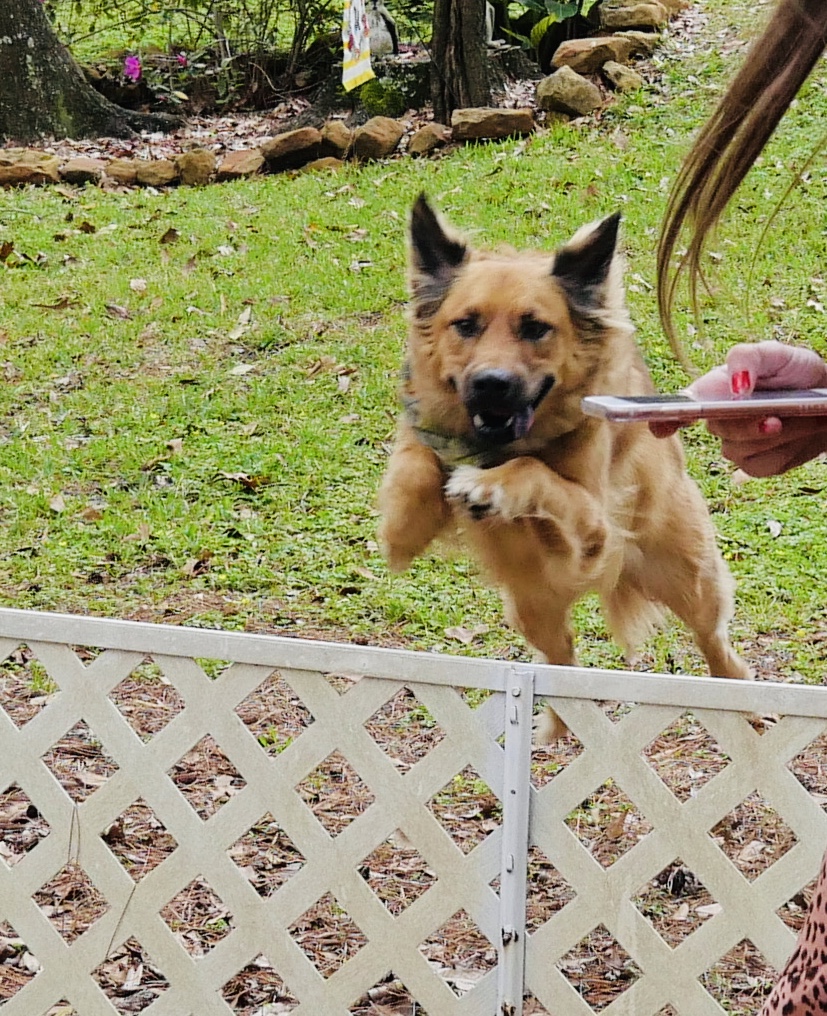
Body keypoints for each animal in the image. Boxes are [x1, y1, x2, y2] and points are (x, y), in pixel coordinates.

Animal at [377, 196, 755, 739]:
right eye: (465, 324)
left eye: (535, 327)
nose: (491, 383)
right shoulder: (423, 449)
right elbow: (416, 464)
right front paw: (414, 516)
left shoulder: (592, 530)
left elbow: (533, 472)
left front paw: (489, 485)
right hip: (531, 608)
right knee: (562, 660)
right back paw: (557, 728)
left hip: (689, 581)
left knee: (715, 644)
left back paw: (747, 704)